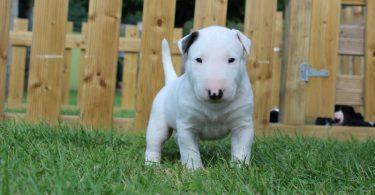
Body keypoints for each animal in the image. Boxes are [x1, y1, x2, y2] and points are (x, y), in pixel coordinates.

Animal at [145, 25, 254, 169]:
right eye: (199, 60)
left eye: (231, 59)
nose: (215, 93)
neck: (215, 107)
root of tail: (170, 82)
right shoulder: (187, 126)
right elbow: (190, 150)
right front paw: (194, 169)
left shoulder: (242, 124)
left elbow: (241, 149)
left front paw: (239, 168)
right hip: (158, 123)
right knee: (154, 143)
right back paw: (152, 164)